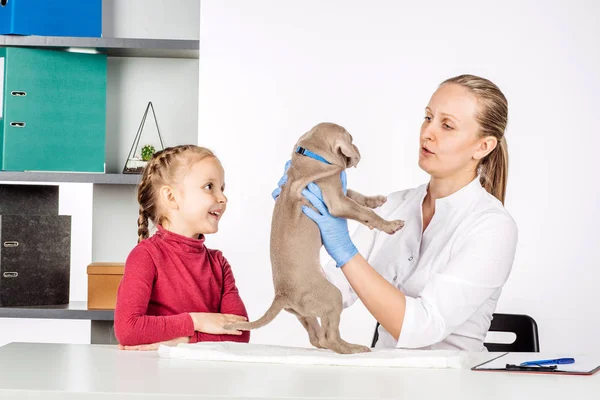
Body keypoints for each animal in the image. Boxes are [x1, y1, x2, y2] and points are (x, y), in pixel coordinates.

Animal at [227, 122, 406, 354]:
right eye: (351, 138)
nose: (357, 150)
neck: (310, 153)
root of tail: (282, 294)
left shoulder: (340, 193)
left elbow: (356, 196)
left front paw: (375, 200)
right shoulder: (336, 200)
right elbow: (364, 211)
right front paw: (389, 224)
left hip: (304, 314)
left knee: (317, 338)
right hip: (333, 296)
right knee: (330, 338)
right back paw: (353, 348)